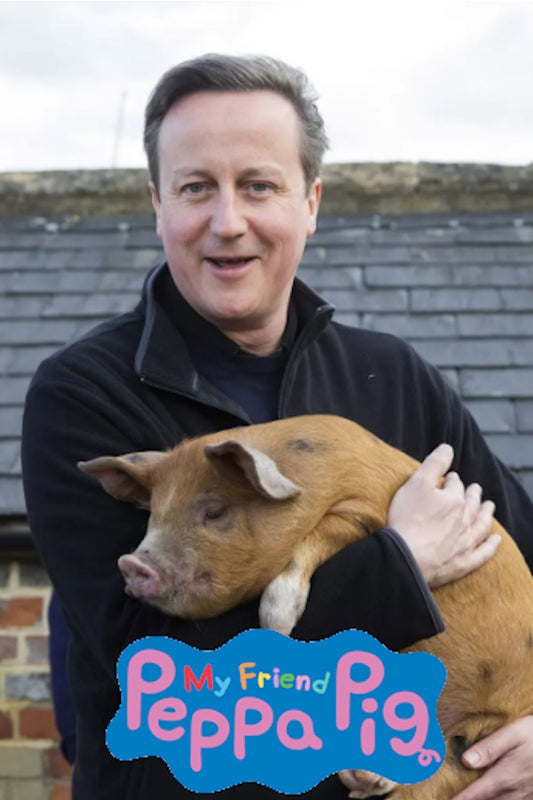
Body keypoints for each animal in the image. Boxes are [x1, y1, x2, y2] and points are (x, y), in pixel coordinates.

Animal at [79, 414, 533, 800]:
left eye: (214, 511)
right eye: (153, 515)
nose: (132, 563)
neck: (308, 477)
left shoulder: (362, 511)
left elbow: (319, 534)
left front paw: (276, 624)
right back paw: (361, 778)